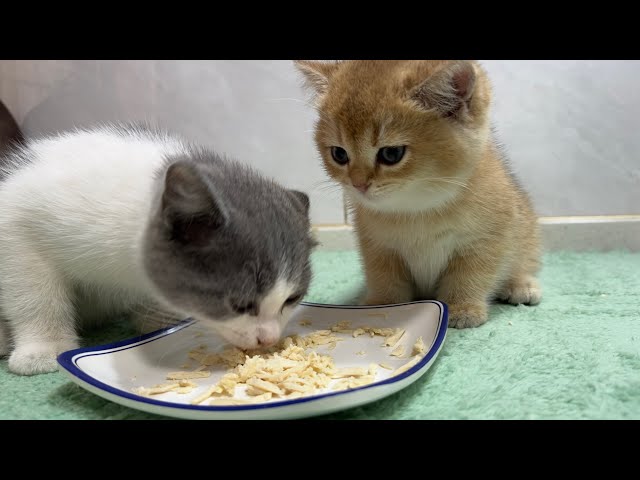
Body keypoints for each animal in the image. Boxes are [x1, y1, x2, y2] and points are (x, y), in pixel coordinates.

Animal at [0, 123, 316, 376]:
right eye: (240, 305)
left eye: (293, 298)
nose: (268, 339)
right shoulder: (17, 220)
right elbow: (34, 292)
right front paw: (43, 348)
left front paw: (158, 322)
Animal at [296, 60, 540, 328]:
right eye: (339, 154)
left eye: (391, 154)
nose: (358, 184)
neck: (417, 208)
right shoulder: (378, 246)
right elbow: (384, 277)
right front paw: (382, 305)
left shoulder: (484, 240)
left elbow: (470, 275)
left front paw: (462, 307)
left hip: (525, 230)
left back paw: (521, 284)